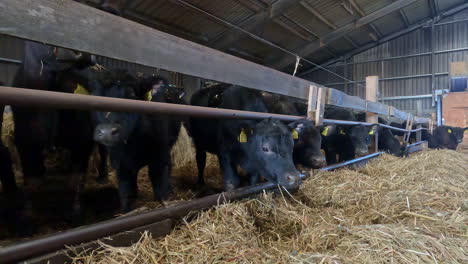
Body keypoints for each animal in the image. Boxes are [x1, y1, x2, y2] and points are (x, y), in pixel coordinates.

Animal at [91, 72, 183, 212]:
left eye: (132, 94)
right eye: (96, 95)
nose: (107, 131)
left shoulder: (159, 157)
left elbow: (160, 184)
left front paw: (165, 200)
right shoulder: (120, 164)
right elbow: (126, 190)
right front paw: (126, 210)